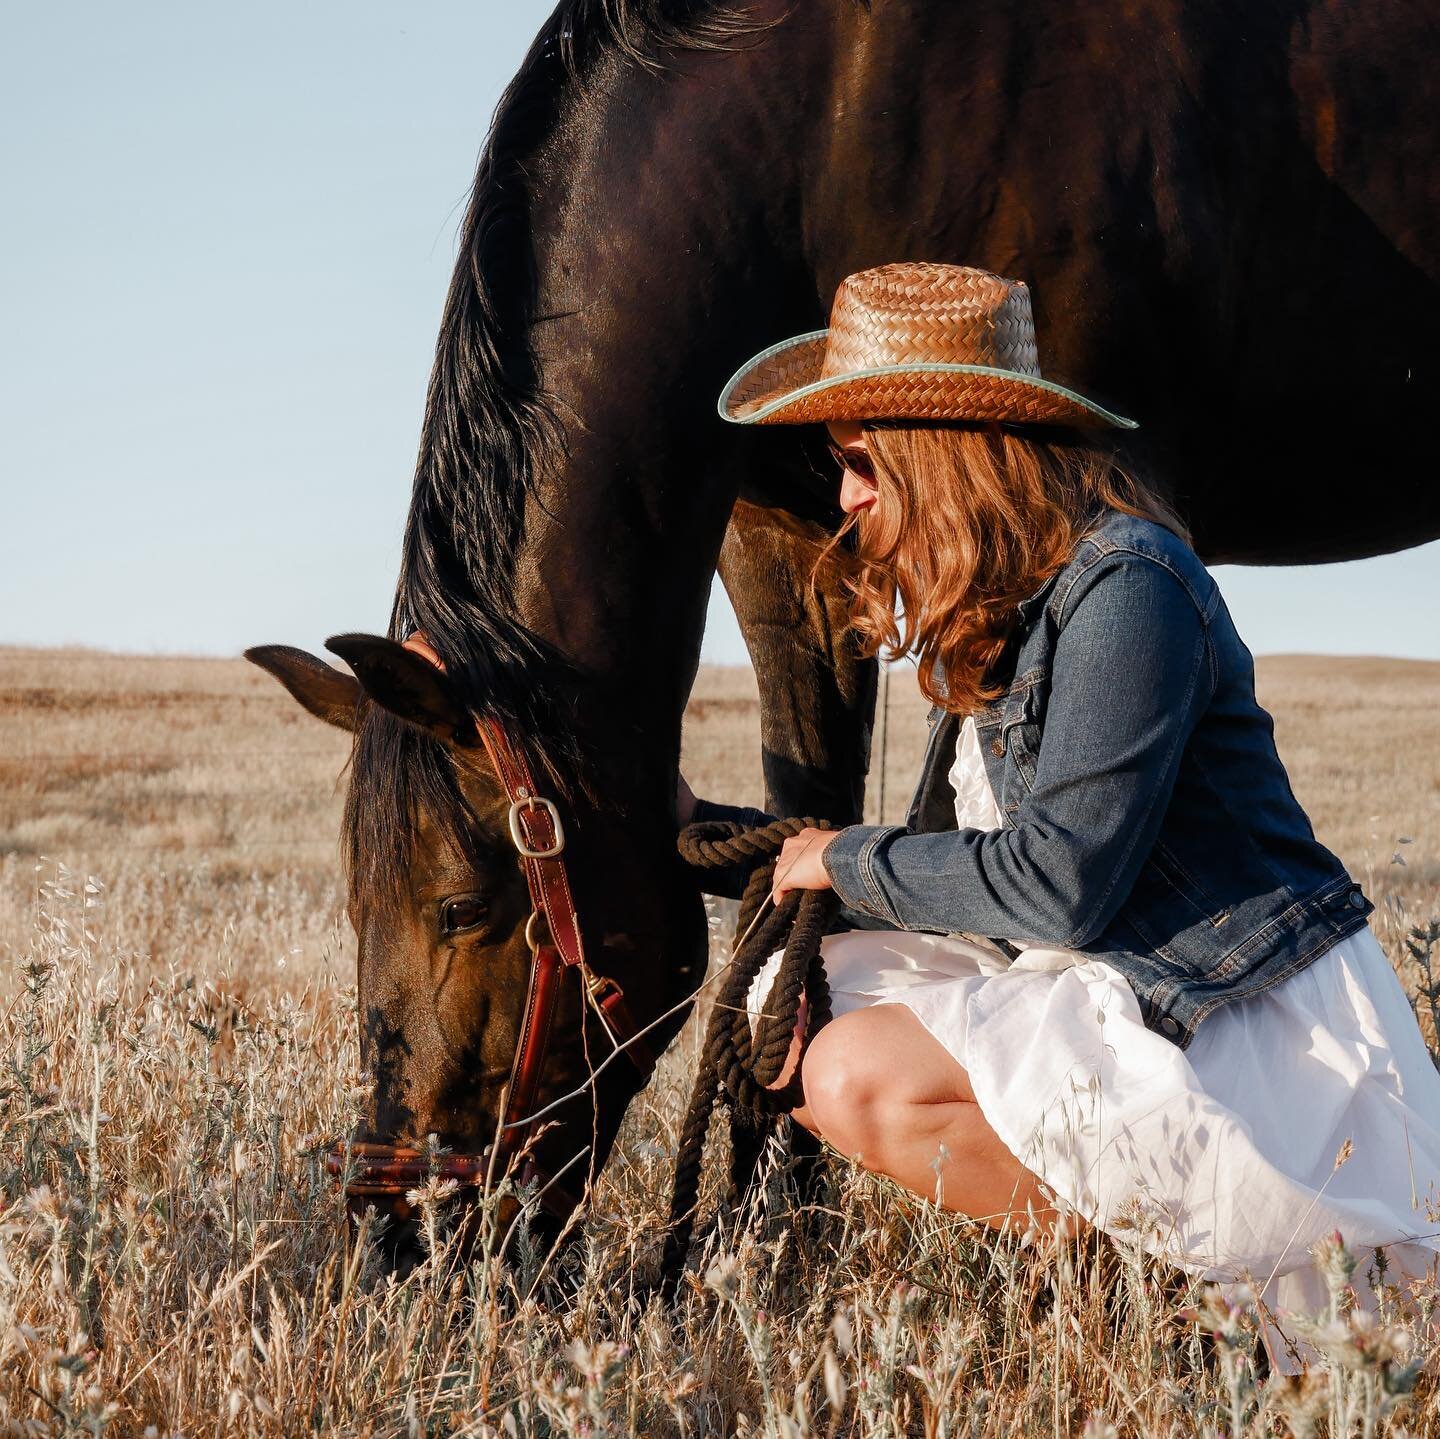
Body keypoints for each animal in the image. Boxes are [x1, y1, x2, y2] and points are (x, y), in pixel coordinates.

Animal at [247, 0, 1440, 1261]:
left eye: (462, 907)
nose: (395, 1231)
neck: (817, 122)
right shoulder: (781, 527)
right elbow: (806, 825)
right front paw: (780, 1232)